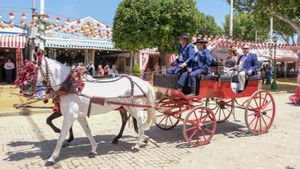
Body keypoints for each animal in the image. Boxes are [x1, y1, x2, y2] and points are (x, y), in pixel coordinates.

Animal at [25, 54, 156, 166]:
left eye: (33, 70)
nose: (25, 86)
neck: (70, 86)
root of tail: (142, 81)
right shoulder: (79, 116)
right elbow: (87, 131)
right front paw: (93, 149)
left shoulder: (69, 115)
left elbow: (61, 136)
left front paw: (52, 158)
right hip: (127, 107)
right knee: (131, 121)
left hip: (135, 108)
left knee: (141, 122)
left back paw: (138, 144)